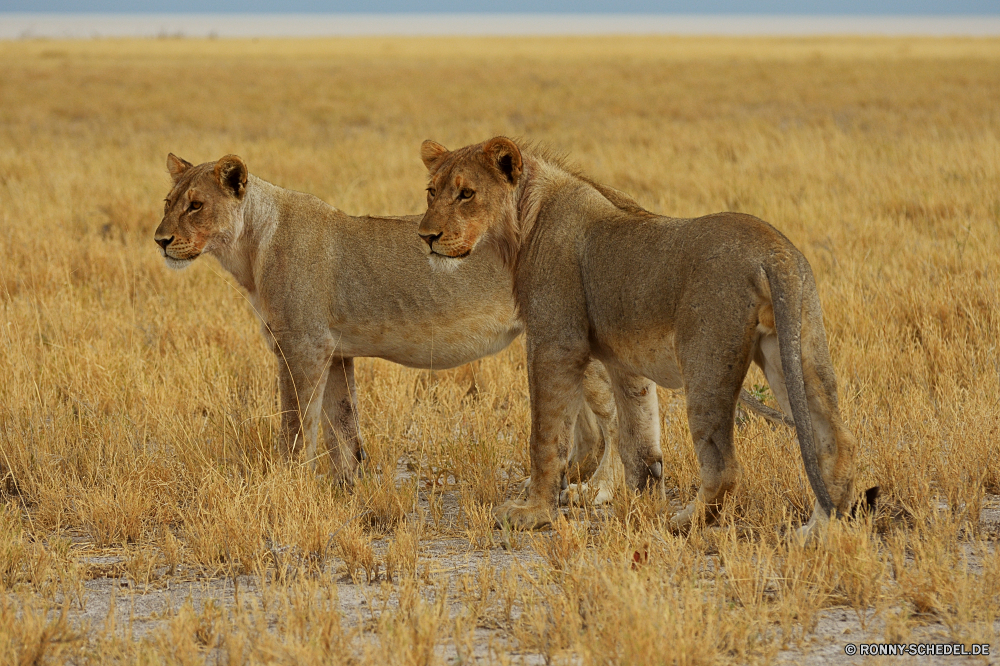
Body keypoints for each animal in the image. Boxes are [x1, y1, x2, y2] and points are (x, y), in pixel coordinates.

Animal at [153, 152, 616, 480]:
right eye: (168, 203)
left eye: (195, 206)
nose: (160, 240)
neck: (249, 248)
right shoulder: (335, 352)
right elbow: (344, 427)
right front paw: (347, 491)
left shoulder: (302, 346)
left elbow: (297, 425)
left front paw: (286, 483)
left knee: (607, 417)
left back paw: (594, 491)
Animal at [418, 136, 856, 536]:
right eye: (431, 191)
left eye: (467, 193)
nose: (426, 237)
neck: (525, 219)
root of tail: (773, 251)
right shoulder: (623, 360)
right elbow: (640, 442)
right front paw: (640, 509)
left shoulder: (555, 342)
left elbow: (546, 436)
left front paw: (532, 513)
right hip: (798, 352)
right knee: (837, 443)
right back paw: (817, 533)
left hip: (707, 363)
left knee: (725, 466)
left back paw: (686, 522)